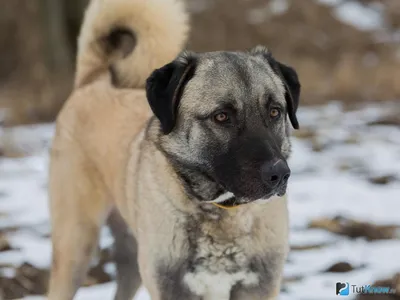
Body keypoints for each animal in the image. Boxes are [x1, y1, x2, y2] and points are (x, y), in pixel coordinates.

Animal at [47, 0, 300, 298]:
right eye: (222, 116)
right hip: (75, 246)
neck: (220, 212)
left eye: (274, 111)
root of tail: (93, 80)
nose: (279, 174)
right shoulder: (170, 286)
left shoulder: (260, 286)